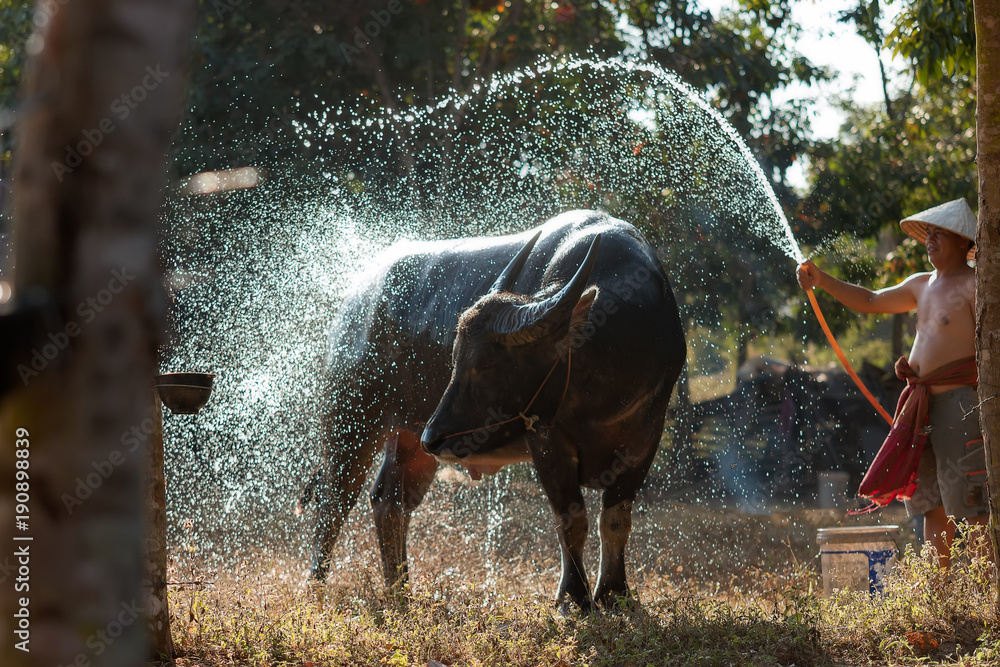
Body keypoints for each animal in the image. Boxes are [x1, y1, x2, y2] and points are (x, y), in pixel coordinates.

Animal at [298, 209, 688, 612]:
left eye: (484, 364)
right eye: (455, 357)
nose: (433, 437)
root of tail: (353, 304)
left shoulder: (645, 439)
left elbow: (615, 521)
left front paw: (614, 593)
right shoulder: (547, 441)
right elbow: (572, 520)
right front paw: (574, 598)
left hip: (406, 435)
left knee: (390, 499)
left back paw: (400, 591)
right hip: (351, 422)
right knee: (333, 504)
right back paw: (316, 588)